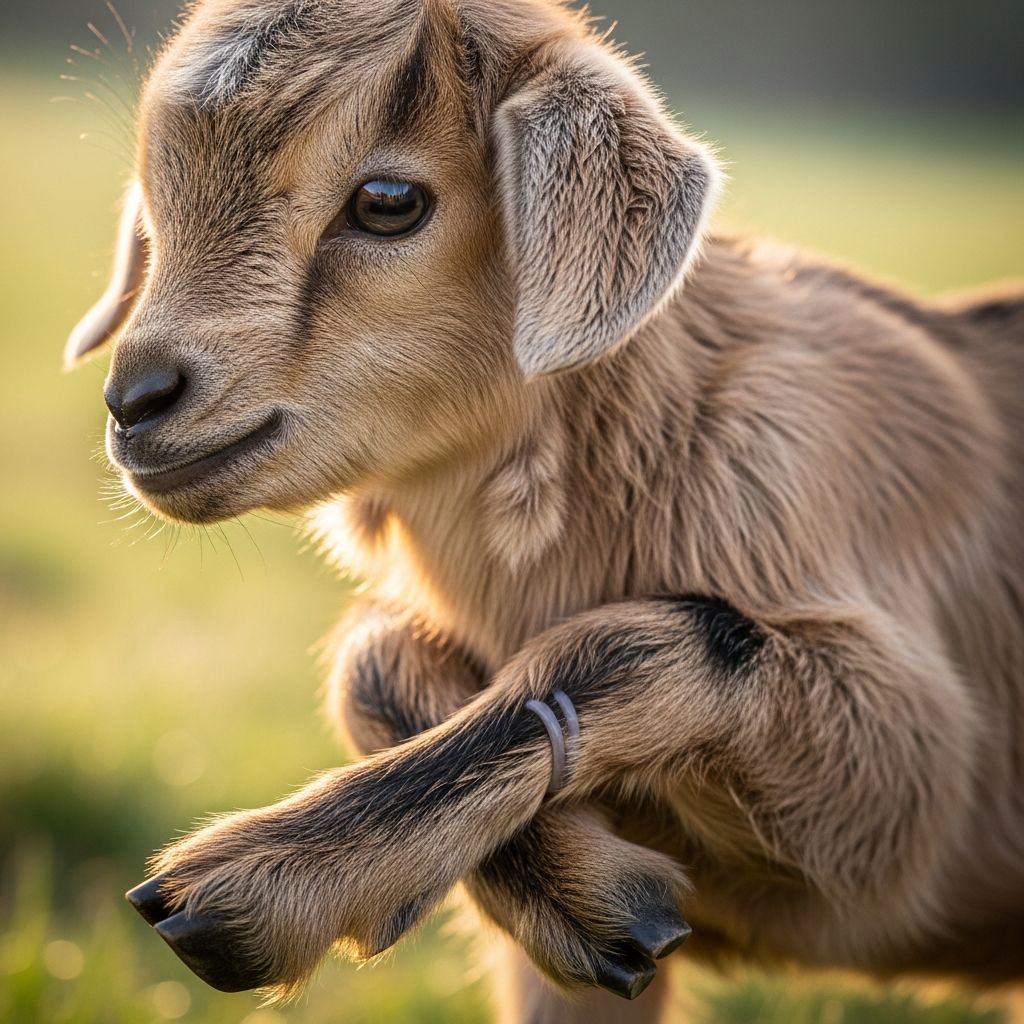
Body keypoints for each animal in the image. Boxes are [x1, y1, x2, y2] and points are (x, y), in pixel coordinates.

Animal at [67, 0, 1024, 1019]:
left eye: (389, 201)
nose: (137, 400)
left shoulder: (906, 782)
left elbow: (661, 636)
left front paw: (247, 890)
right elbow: (374, 649)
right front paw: (602, 902)